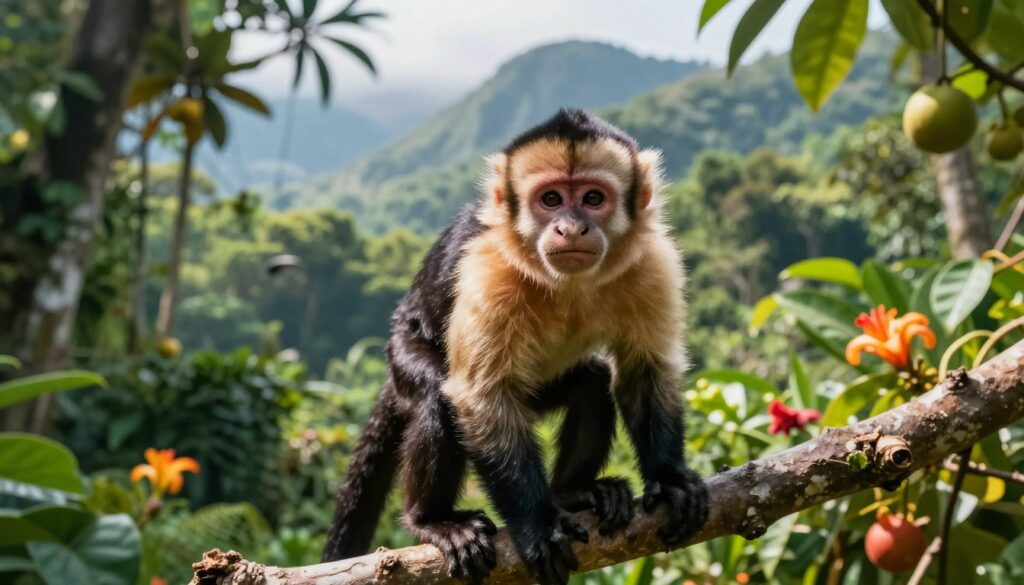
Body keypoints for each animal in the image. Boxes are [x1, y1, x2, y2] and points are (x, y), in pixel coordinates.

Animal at [322, 108, 708, 585]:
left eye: (593, 198)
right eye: (551, 200)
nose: (571, 227)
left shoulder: (652, 261)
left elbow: (645, 370)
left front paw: (670, 479)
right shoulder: (488, 266)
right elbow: (481, 395)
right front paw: (535, 525)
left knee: (592, 384)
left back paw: (572, 492)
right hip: (402, 354)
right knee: (437, 395)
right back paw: (430, 519)